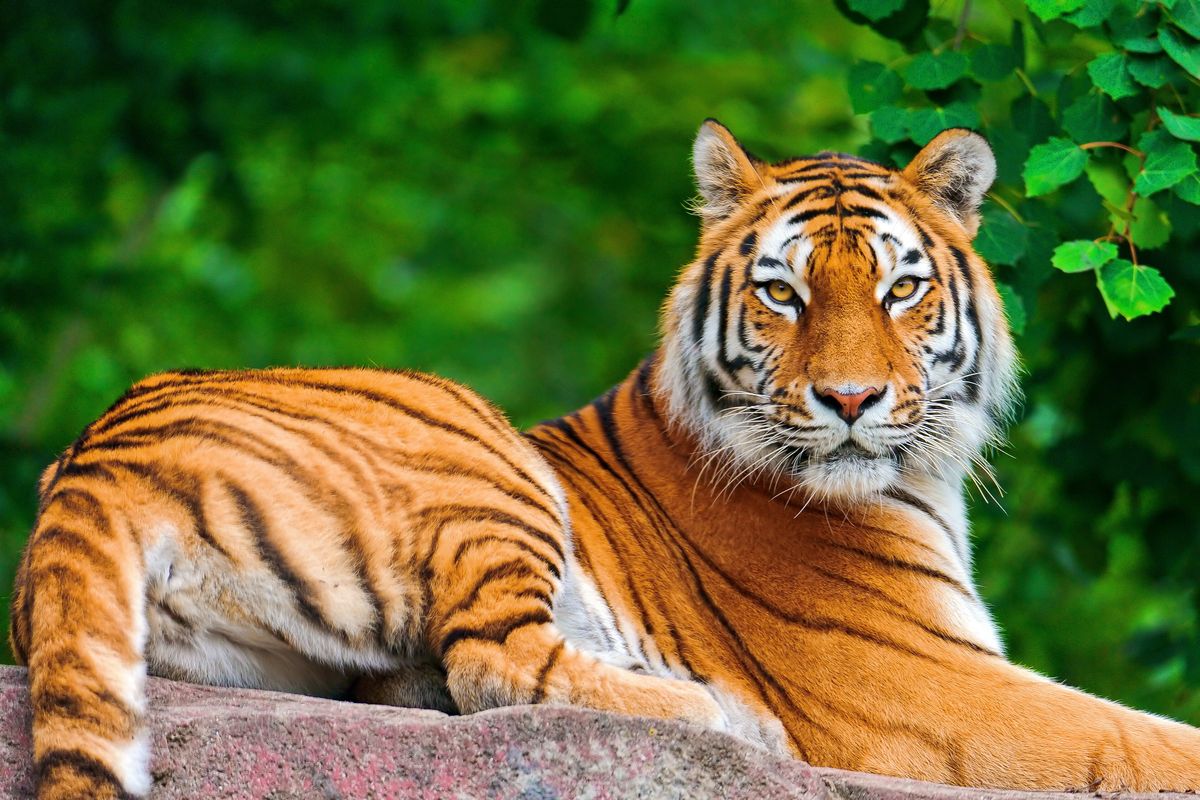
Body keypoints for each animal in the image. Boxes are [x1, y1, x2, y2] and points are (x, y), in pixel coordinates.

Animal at [10, 122, 1200, 800]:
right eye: (783, 292)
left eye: (900, 288)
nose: (852, 401)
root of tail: (93, 456)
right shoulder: (922, 685)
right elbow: (1145, 741)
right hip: (476, 447)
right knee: (494, 660)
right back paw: (720, 719)